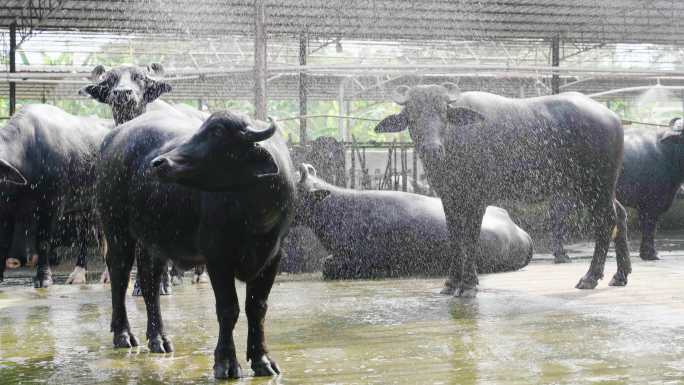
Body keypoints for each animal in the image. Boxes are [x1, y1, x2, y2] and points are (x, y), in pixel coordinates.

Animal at [95, 110, 292, 378]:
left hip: (153, 240)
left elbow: (257, 308)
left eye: (217, 133)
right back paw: (123, 335)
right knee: (120, 275)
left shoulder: (272, 257)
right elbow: (228, 309)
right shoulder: (217, 256)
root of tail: (112, 138)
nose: (159, 163)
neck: (253, 212)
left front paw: (263, 360)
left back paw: (158, 339)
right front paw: (226, 363)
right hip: (116, 227)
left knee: (150, 283)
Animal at [374, 82, 632, 296]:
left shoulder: (477, 198)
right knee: (620, 214)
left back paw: (590, 277)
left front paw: (468, 285)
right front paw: (450, 283)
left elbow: (470, 238)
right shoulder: (450, 197)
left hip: (596, 185)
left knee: (606, 221)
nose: (431, 149)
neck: (457, 140)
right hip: (596, 188)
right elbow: (455, 238)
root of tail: (613, 118)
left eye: (443, 114)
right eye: (412, 116)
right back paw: (620, 275)